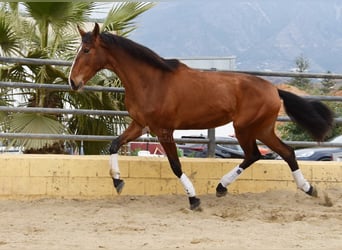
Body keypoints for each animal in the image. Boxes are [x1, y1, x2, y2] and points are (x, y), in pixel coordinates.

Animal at [69, 23, 334, 211]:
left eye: (87, 50)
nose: (73, 82)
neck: (151, 81)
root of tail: (274, 89)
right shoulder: (141, 125)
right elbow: (114, 144)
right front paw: (118, 182)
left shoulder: (163, 130)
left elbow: (175, 165)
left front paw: (194, 200)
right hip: (262, 129)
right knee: (283, 153)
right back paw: (309, 189)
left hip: (245, 128)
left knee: (256, 154)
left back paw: (223, 187)